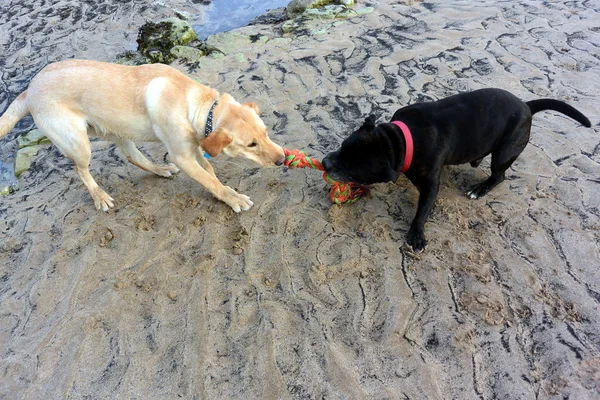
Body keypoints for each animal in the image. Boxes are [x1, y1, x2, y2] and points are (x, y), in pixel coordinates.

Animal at [324, 88, 592, 250]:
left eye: (351, 167)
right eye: (342, 147)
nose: (325, 163)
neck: (401, 141)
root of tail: (526, 106)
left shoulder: (431, 185)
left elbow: (422, 210)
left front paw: (416, 234)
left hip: (504, 152)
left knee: (499, 175)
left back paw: (481, 188)